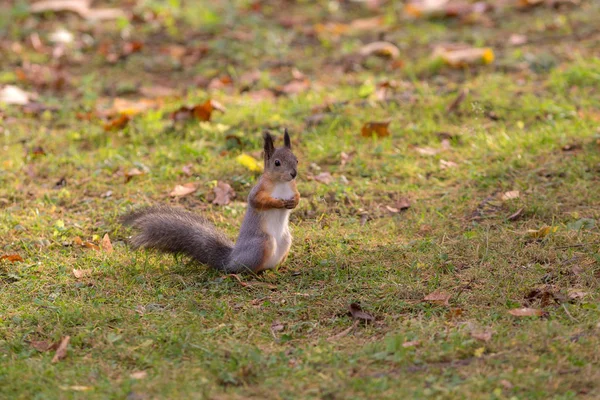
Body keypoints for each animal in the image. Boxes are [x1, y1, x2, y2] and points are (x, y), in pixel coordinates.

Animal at [122, 130, 300, 274]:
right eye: (277, 163)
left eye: (296, 160)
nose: (294, 174)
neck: (281, 184)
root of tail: (230, 260)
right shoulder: (258, 191)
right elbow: (258, 201)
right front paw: (278, 203)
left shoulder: (292, 187)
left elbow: (297, 195)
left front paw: (294, 201)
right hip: (261, 244)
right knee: (245, 269)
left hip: (286, 241)